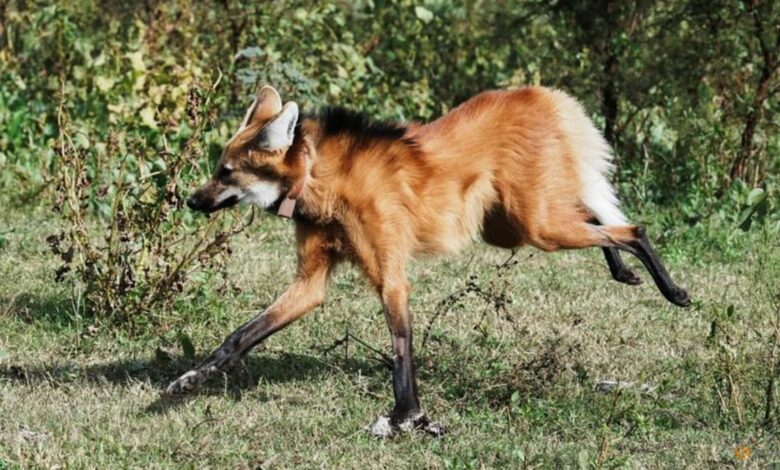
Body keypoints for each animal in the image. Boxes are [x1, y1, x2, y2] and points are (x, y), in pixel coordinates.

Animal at [169, 84, 688, 436]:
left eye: (225, 172)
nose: (191, 201)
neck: (321, 182)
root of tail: (541, 93)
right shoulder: (310, 284)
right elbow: (240, 336)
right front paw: (190, 379)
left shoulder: (391, 278)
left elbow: (401, 347)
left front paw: (407, 416)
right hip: (511, 227)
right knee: (599, 215)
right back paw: (623, 270)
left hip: (536, 227)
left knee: (632, 229)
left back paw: (672, 290)